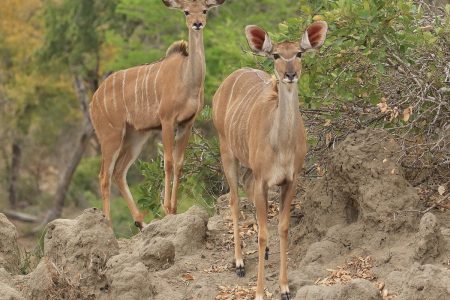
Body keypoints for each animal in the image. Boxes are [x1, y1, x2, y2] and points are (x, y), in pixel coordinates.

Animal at [90, 0, 227, 230]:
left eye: (204, 10)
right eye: (186, 11)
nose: (197, 23)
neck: (187, 78)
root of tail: (94, 100)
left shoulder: (187, 122)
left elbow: (179, 163)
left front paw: (174, 209)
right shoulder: (167, 120)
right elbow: (169, 162)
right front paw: (167, 209)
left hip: (136, 136)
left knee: (119, 172)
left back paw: (141, 222)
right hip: (111, 136)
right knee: (104, 174)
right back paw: (107, 225)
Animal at [213, 22, 328, 298]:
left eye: (299, 53)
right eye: (276, 54)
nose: (290, 74)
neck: (281, 147)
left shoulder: (290, 180)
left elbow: (283, 228)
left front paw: (285, 287)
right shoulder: (263, 179)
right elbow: (265, 232)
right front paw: (259, 291)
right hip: (227, 151)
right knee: (234, 201)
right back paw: (239, 262)